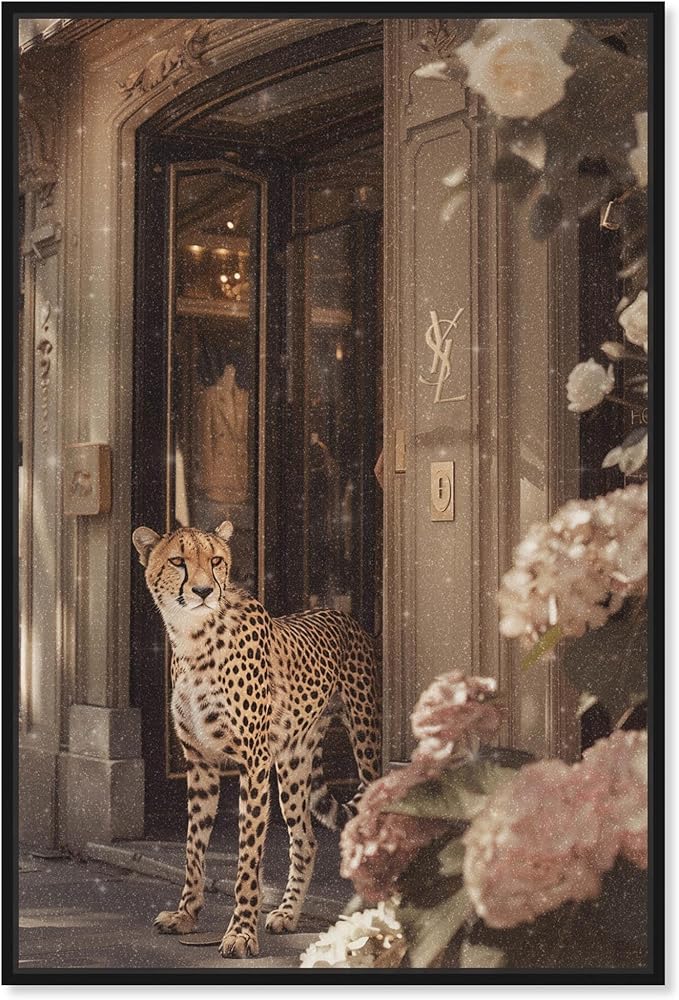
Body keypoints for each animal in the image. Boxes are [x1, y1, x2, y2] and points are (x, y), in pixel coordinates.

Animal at [132, 520, 381, 959]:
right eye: (178, 560)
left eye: (215, 560)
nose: (203, 591)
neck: (192, 639)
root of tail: (338, 611)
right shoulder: (200, 763)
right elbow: (193, 847)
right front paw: (186, 914)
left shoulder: (254, 762)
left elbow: (248, 856)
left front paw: (241, 933)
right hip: (294, 762)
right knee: (306, 839)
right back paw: (288, 913)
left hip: (363, 741)